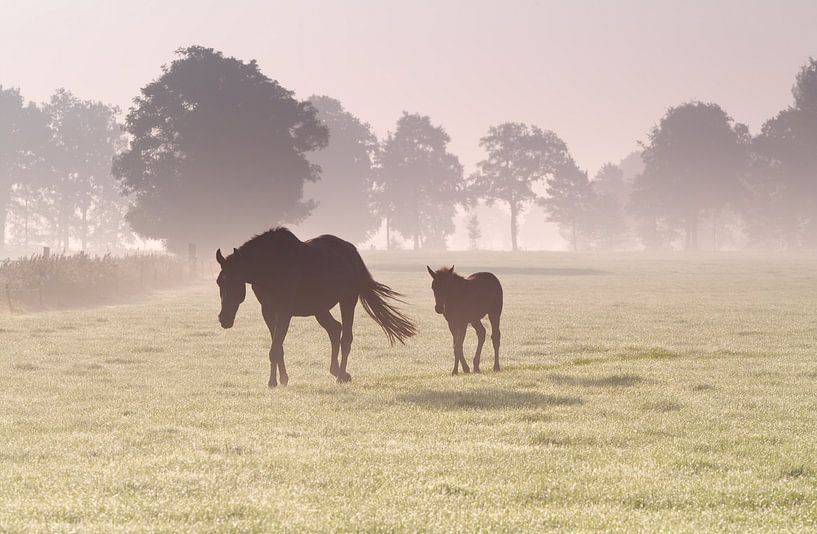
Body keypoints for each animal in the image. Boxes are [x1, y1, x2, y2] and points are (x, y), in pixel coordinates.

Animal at [215, 228, 414, 388]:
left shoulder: (285, 312)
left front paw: (272, 382)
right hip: (319, 308)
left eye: (235, 281)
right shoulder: (268, 311)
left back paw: (340, 376)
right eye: (219, 282)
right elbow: (278, 347)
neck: (272, 267)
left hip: (347, 300)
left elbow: (275, 348)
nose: (224, 319)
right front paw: (282, 379)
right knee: (335, 329)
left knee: (346, 338)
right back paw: (337, 371)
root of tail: (352, 251)